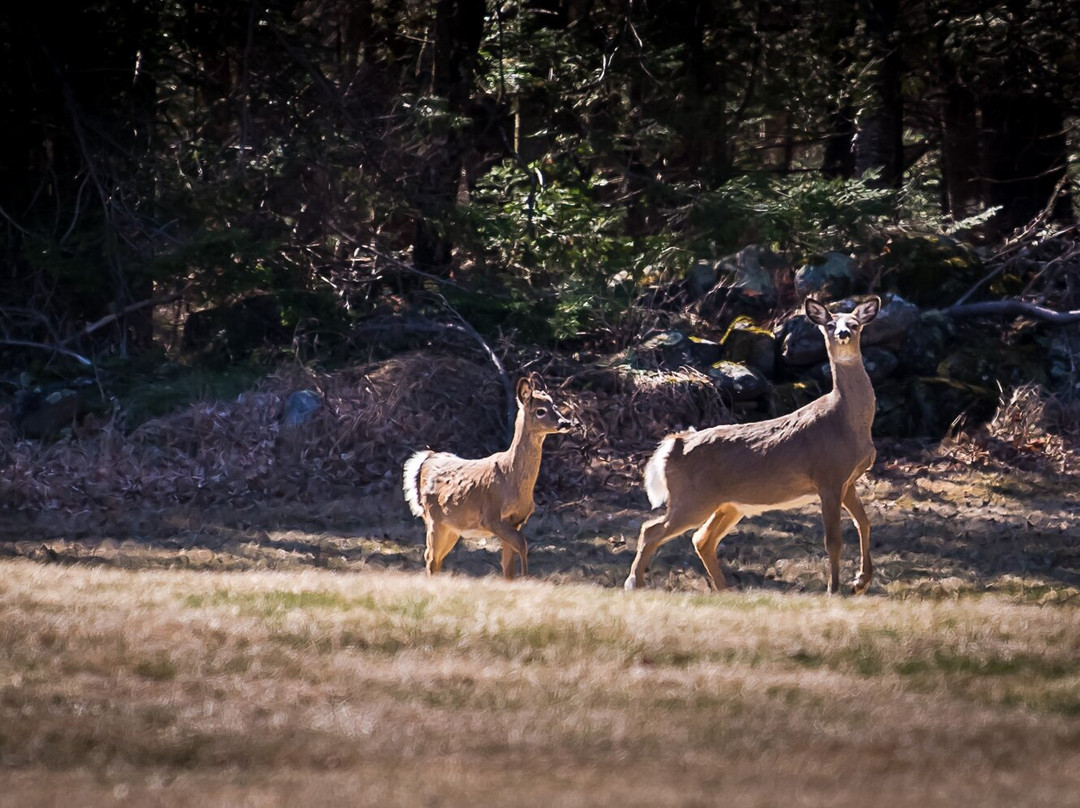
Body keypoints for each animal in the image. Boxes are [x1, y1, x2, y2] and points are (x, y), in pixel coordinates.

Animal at [403, 372, 572, 579]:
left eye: (554, 405)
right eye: (540, 411)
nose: (566, 422)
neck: (512, 478)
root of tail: (427, 458)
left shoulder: (516, 521)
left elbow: (508, 566)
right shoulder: (492, 516)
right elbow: (522, 545)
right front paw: (527, 578)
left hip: (452, 527)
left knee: (436, 558)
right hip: (435, 520)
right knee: (430, 556)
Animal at [624, 295, 881, 595]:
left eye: (854, 323)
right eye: (830, 325)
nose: (843, 334)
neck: (846, 423)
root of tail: (673, 446)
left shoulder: (847, 480)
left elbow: (864, 522)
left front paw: (860, 582)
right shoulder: (827, 476)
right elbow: (834, 540)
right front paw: (834, 589)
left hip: (727, 505)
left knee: (701, 539)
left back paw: (725, 590)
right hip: (691, 498)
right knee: (652, 529)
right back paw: (634, 583)